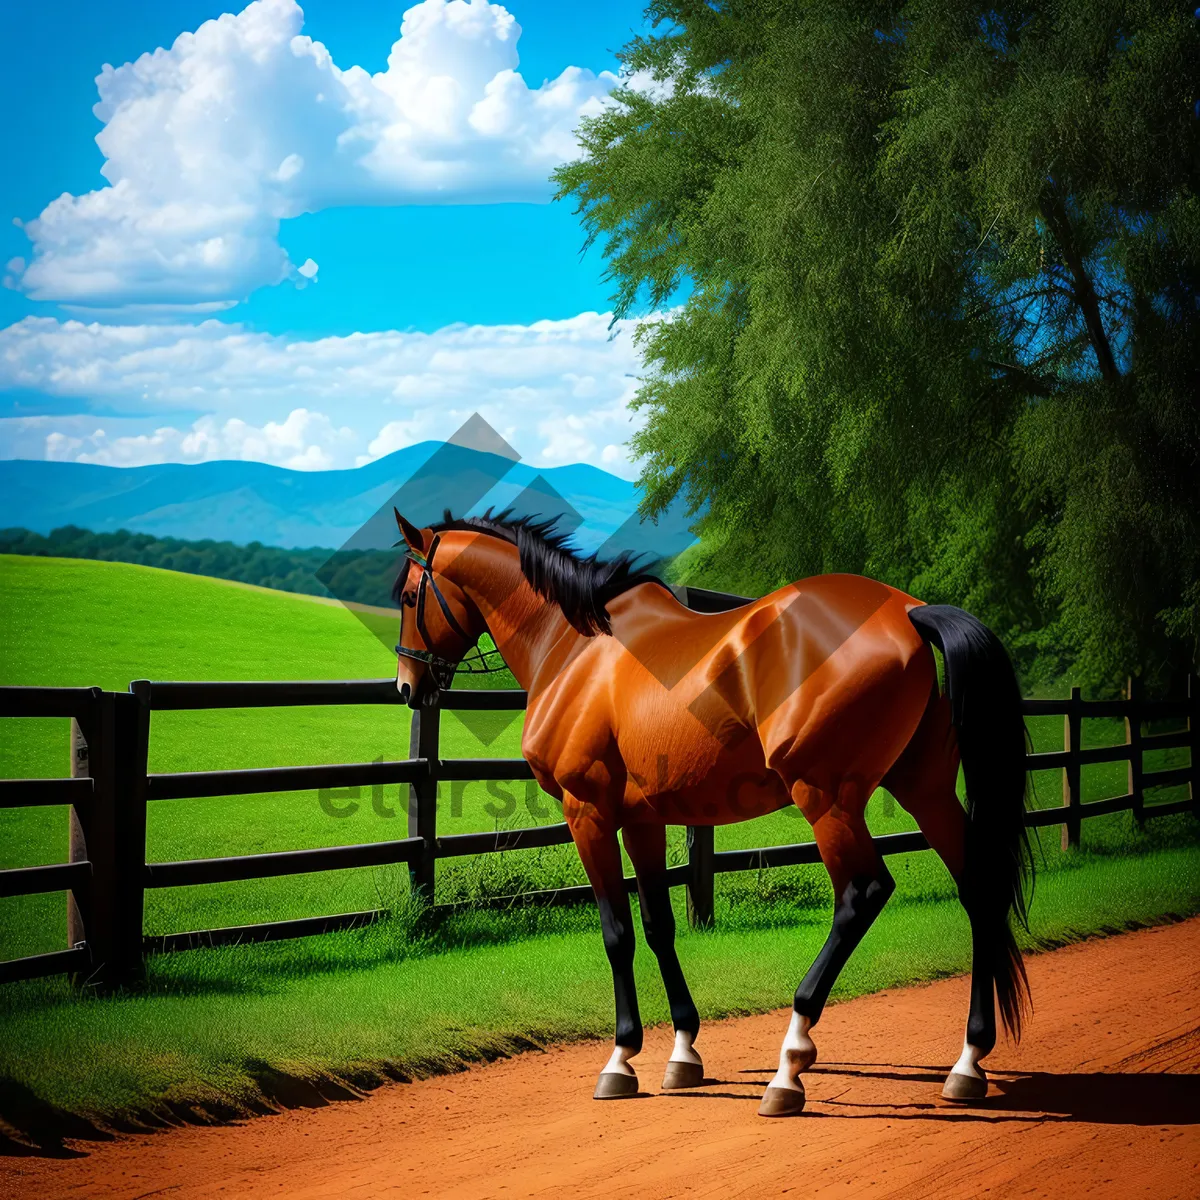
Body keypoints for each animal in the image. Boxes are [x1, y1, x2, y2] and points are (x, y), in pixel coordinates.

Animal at [386, 506, 1032, 1113]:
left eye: (410, 595)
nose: (408, 686)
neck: (576, 648)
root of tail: (908, 611)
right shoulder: (642, 820)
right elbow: (659, 926)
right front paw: (682, 1052)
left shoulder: (588, 813)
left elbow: (617, 932)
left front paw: (620, 1059)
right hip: (926, 791)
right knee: (979, 889)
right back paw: (968, 1063)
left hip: (826, 799)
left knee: (861, 895)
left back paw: (790, 1066)